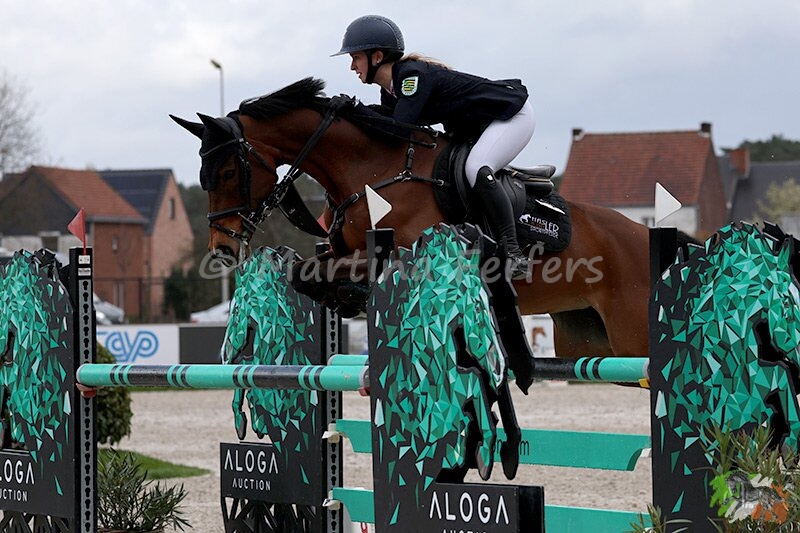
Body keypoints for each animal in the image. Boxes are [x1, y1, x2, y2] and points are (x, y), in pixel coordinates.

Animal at [171, 77, 653, 361]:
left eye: (228, 173)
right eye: (203, 176)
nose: (222, 249)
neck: (370, 168)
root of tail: (645, 236)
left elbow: (314, 271)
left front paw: (351, 293)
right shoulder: (338, 251)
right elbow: (308, 272)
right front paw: (344, 298)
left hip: (632, 334)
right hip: (584, 335)